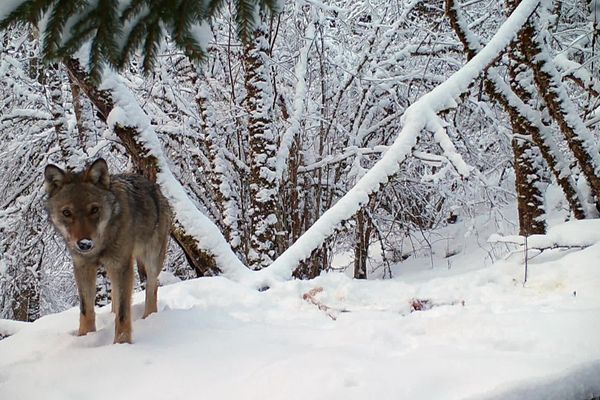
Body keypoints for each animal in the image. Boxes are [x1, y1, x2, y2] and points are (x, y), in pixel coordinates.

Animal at [43, 159, 171, 344]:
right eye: (67, 213)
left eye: (94, 209)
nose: (84, 244)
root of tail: (154, 186)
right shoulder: (83, 267)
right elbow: (86, 310)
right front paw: (84, 338)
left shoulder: (121, 265)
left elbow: (124, 313)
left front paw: (122, 344)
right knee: (116, 296)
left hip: (151, 259)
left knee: (152, 288)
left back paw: (149, 318)